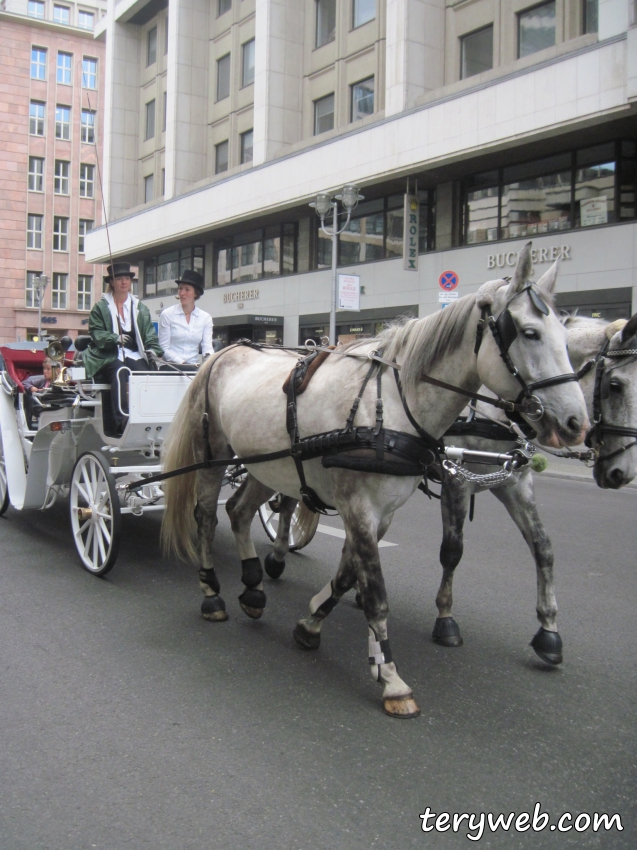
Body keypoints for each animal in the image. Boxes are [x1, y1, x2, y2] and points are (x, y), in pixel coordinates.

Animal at [160, 245, 588, 716]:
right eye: (529, 333)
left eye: (565, 337)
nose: (576, 424)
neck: (393, 406)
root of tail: (223, 351)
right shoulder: (367, 505)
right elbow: (380, 590)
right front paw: (391, 678)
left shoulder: (385, 511)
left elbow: (352, 574)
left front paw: (312, 624)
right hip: (212, 456)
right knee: (205, 516)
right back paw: (213, 593)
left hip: (266, 464)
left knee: (238, 511)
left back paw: (254, 587)